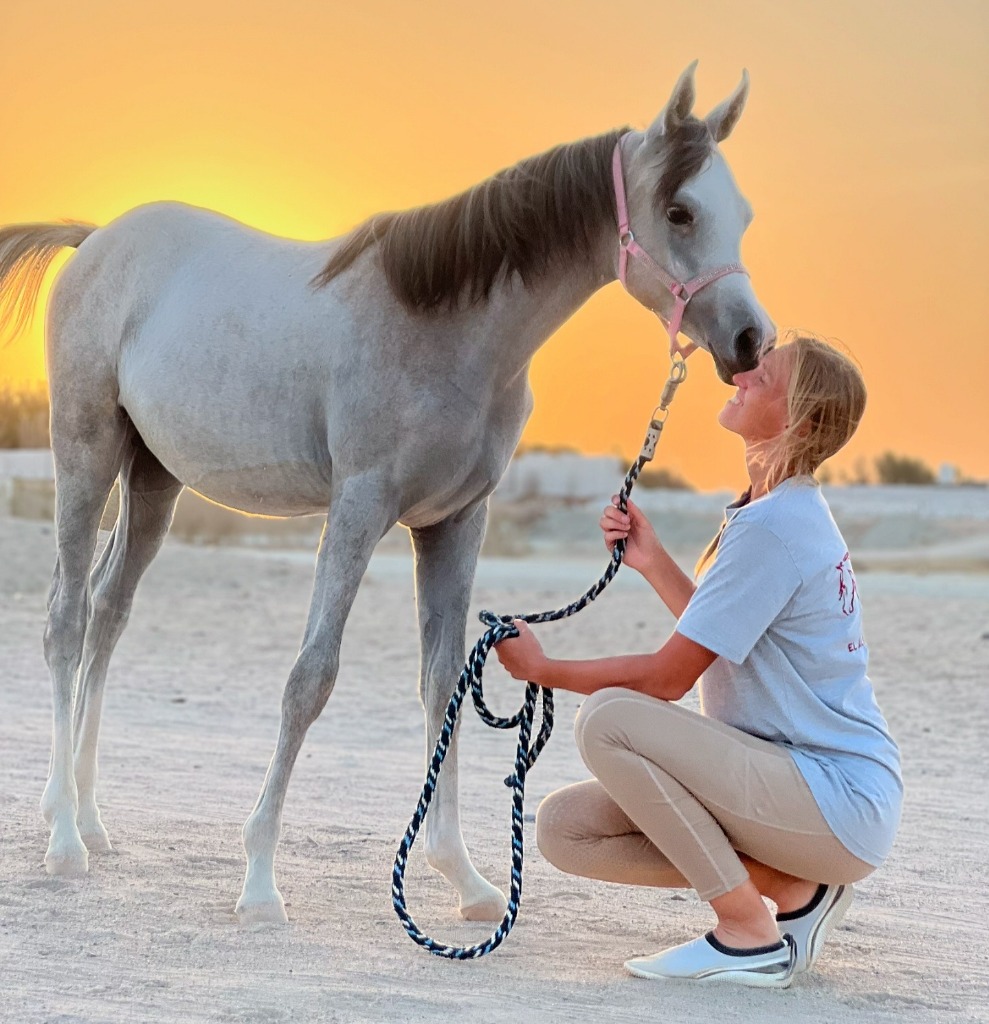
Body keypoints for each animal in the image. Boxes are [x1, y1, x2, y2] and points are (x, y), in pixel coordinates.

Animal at [0, 62, 774, 925]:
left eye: (741, 213)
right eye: (679, 210)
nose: (751, 341)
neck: (444, 327)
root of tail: (97, 240)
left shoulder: (453, 523)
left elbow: (443, 684)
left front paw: (465, 879)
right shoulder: (358, 510)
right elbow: (310, 680)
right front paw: (259, 882)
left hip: (153, 479)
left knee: (108, 614)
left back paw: (87, 817)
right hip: (86, 451)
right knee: (67, 621)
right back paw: (64, 840)